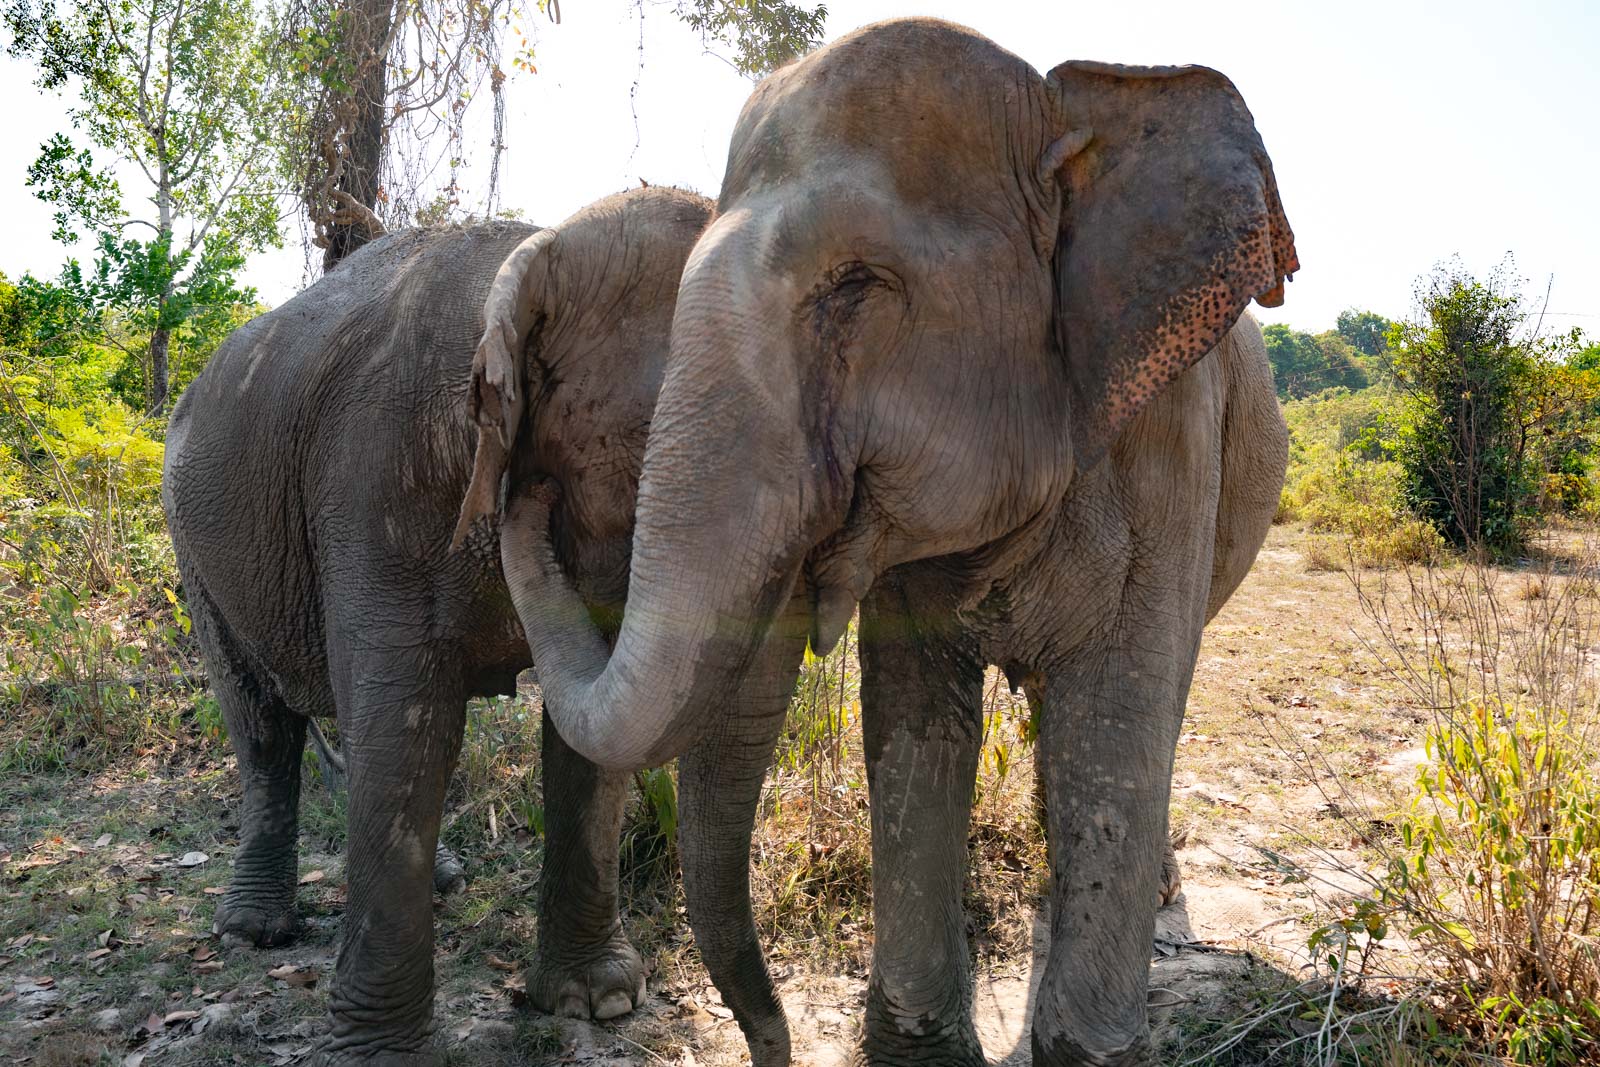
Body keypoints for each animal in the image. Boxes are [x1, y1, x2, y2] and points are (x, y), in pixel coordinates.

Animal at [160, 187, 713, 1062]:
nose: (529, 502)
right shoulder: (374, 481)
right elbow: (407, 725)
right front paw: (383, 1054)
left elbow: (583, 733)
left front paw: (600, 1003)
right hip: (193, 546)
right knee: (262, 723)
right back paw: (252, 930)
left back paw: (447, 878)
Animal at [483, 16, 1299, 1067]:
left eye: (855, 288)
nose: (526, 487)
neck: (1056, 113)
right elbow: (916, 725)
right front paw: (919, 1051)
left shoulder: (1170, 430)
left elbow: (1120, 706)